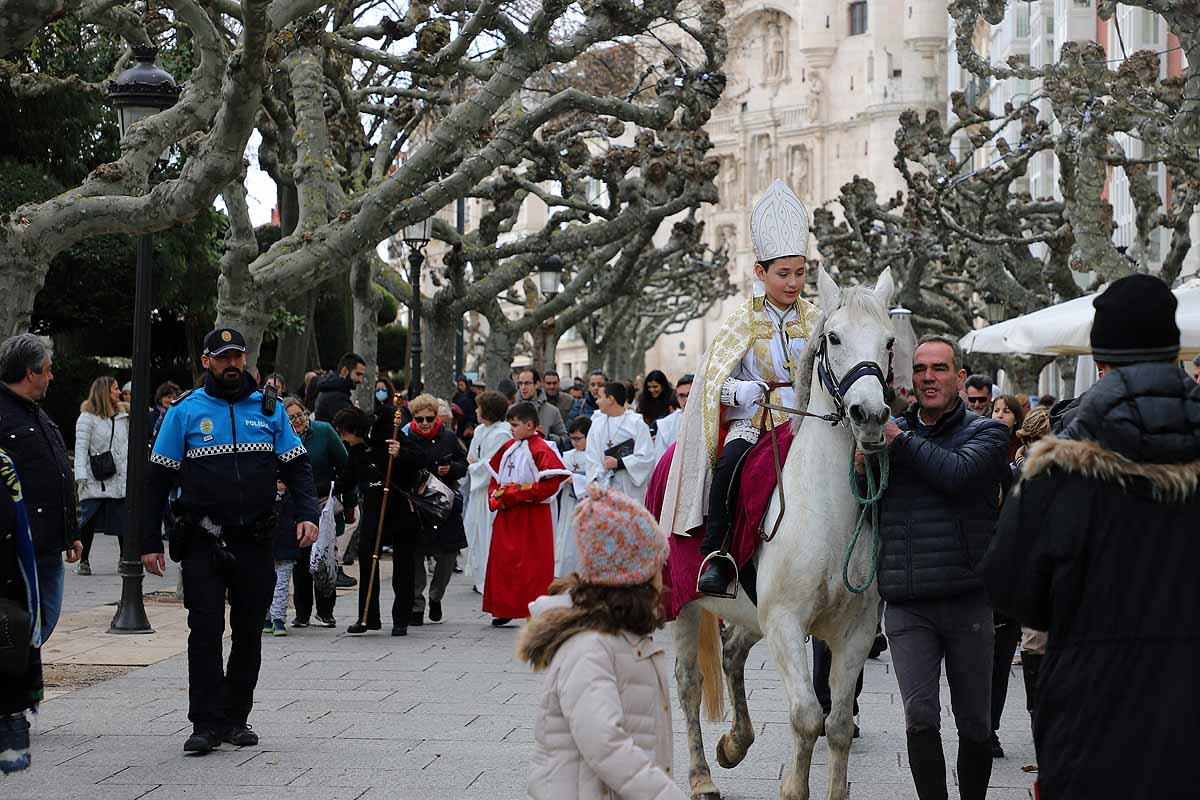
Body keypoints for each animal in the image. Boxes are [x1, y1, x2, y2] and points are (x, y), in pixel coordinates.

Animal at [676, 267, 892, 800]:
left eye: (890, 341)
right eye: (833, 337)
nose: (871, 416)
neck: (825, 511)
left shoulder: (855, 632)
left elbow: (838, 725)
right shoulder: (786, 624)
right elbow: (807, 717)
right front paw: (795, 787)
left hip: (750, 614)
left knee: (733, 654)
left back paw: (735, 745)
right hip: (685, 607)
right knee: (689, 685)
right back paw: (701, 777)